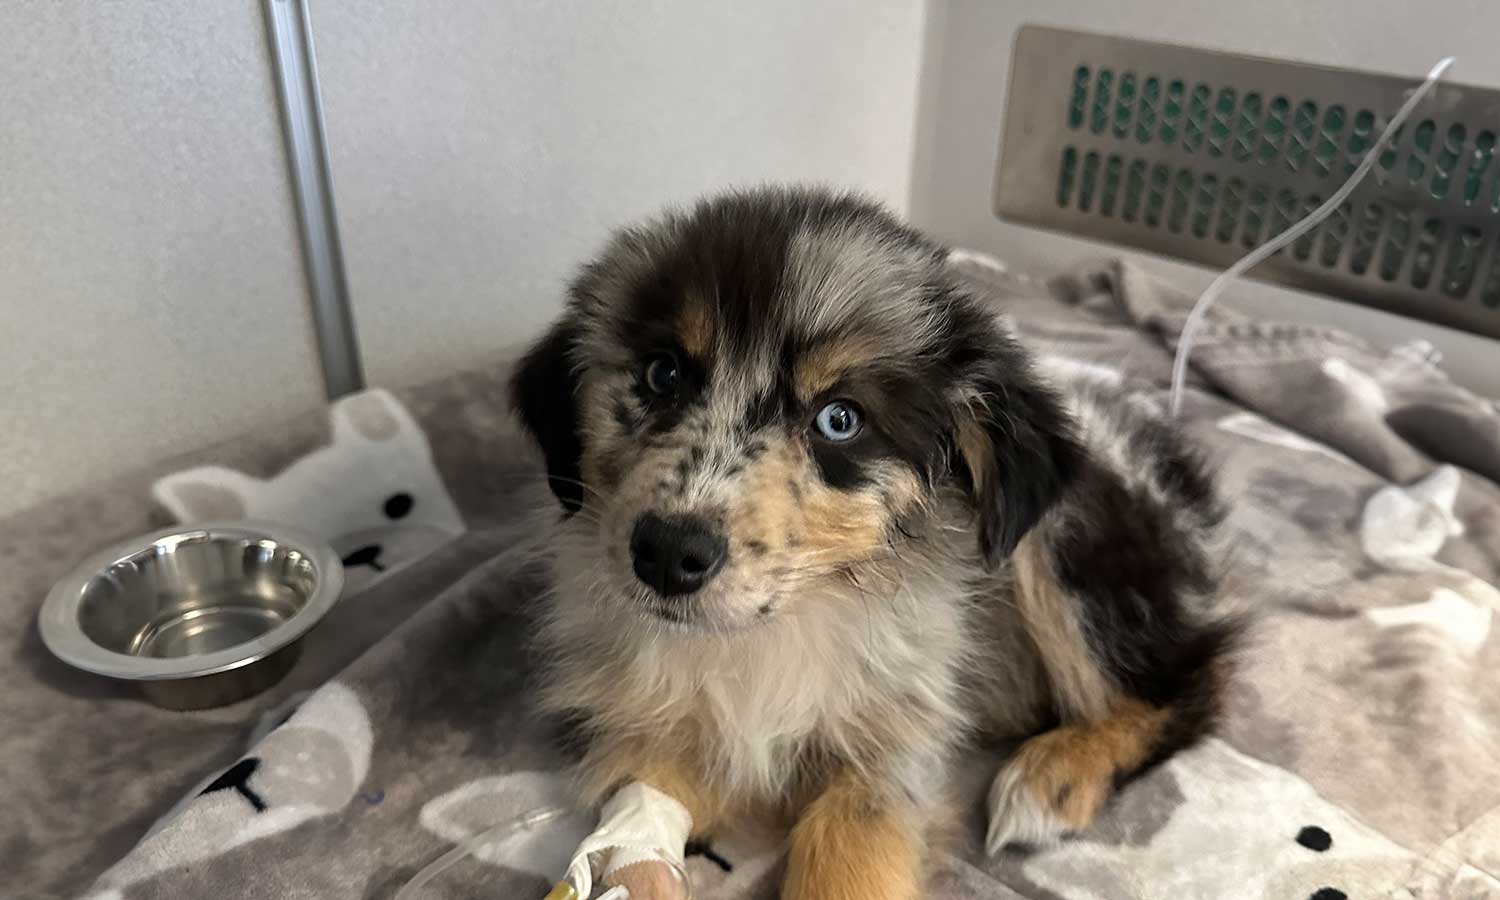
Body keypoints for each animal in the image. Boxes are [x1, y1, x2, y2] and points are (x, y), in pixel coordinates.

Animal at [510, 184, 1236, 900]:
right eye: (663, 375)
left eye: (840, 419)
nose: (665, 555)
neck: (771, 632)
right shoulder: (652, 731)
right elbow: (639, 823)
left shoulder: (895, 748)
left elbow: (849, 855)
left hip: (1074, 537)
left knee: (1186, 681)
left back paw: (1052, 778)